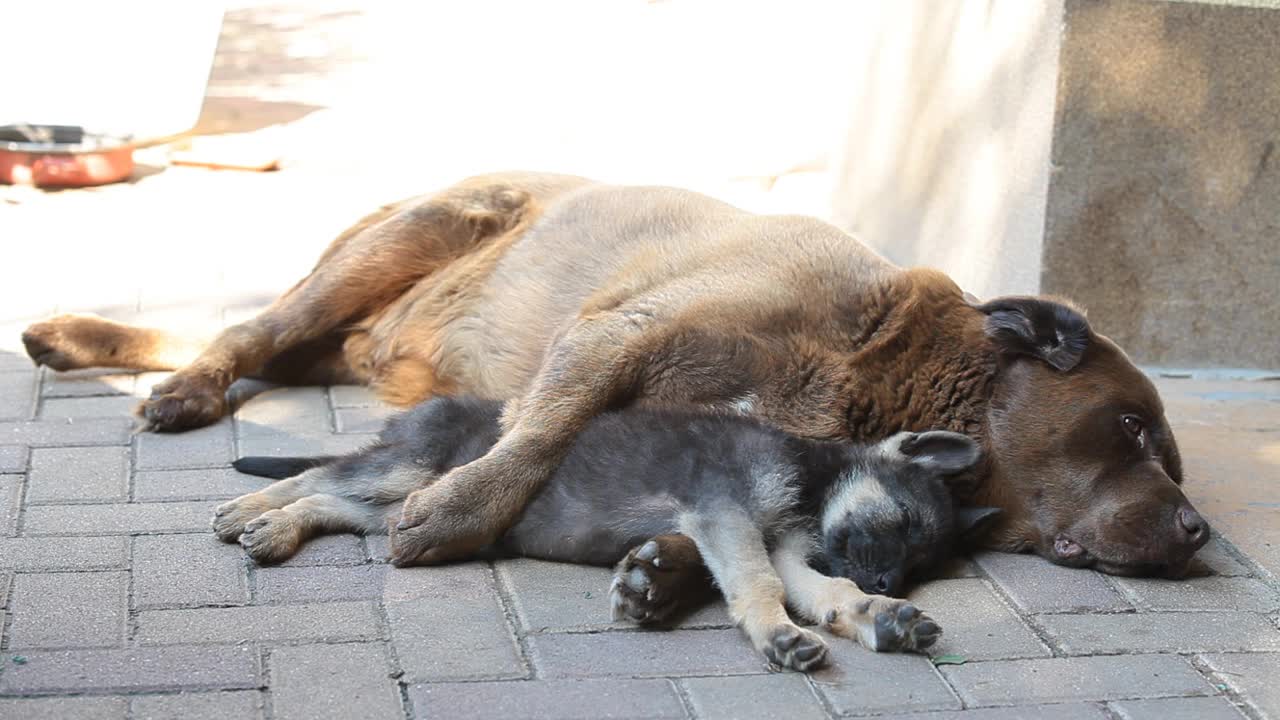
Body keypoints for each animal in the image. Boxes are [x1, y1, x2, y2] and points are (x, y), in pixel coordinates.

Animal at [22, 170, 1208, 586]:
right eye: (1133, 431)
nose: (1197, 531)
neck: (874, 360)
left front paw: (663, 572)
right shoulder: (613, 335)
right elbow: (540, 433)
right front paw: (454, 512)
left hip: (355, 336)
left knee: (243, 337)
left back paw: (82, 341)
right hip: (405, 239)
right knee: (250, 332)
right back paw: (174, 389)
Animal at [217, 392, 998, 666]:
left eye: (923, 563)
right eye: (903, 521)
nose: (890, 579)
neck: (810, 478)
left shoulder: (781, 541)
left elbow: (821, 588)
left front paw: (876, 615)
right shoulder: (726, 513)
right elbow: (760, 586)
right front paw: (778, 633)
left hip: (400, 503)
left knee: (335, 501)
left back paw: (273, 527)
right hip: (413, 472)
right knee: (321, 477)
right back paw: (249, 514)